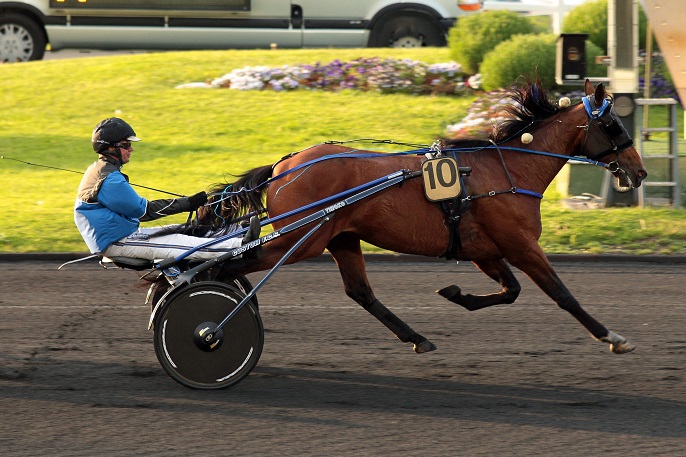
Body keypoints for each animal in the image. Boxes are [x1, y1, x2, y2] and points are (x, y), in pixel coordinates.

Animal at [204, 77, 652, 356]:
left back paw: (417, 337)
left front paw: (455, 294)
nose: (640, 171)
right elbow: (562, 294)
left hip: (340, 236)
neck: (509, 169)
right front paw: (613, 337)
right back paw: (210, 324)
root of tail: (284, 166)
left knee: (360, 292)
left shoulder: (485, 249)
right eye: (613, 124)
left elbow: (510, 290)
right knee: (227, 266)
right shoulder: (521, 244)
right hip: (300, 241)